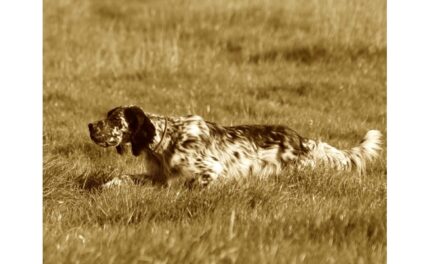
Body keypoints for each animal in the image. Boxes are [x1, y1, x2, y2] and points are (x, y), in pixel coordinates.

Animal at [88, 105, 382, 188]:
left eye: (114, 119)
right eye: (106, 116)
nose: (90, 126)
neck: (166, 138)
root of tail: (303, 141)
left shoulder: (211, 171)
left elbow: (196, 185)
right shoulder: (160, 176)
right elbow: (125, 177)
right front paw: (108, 185)